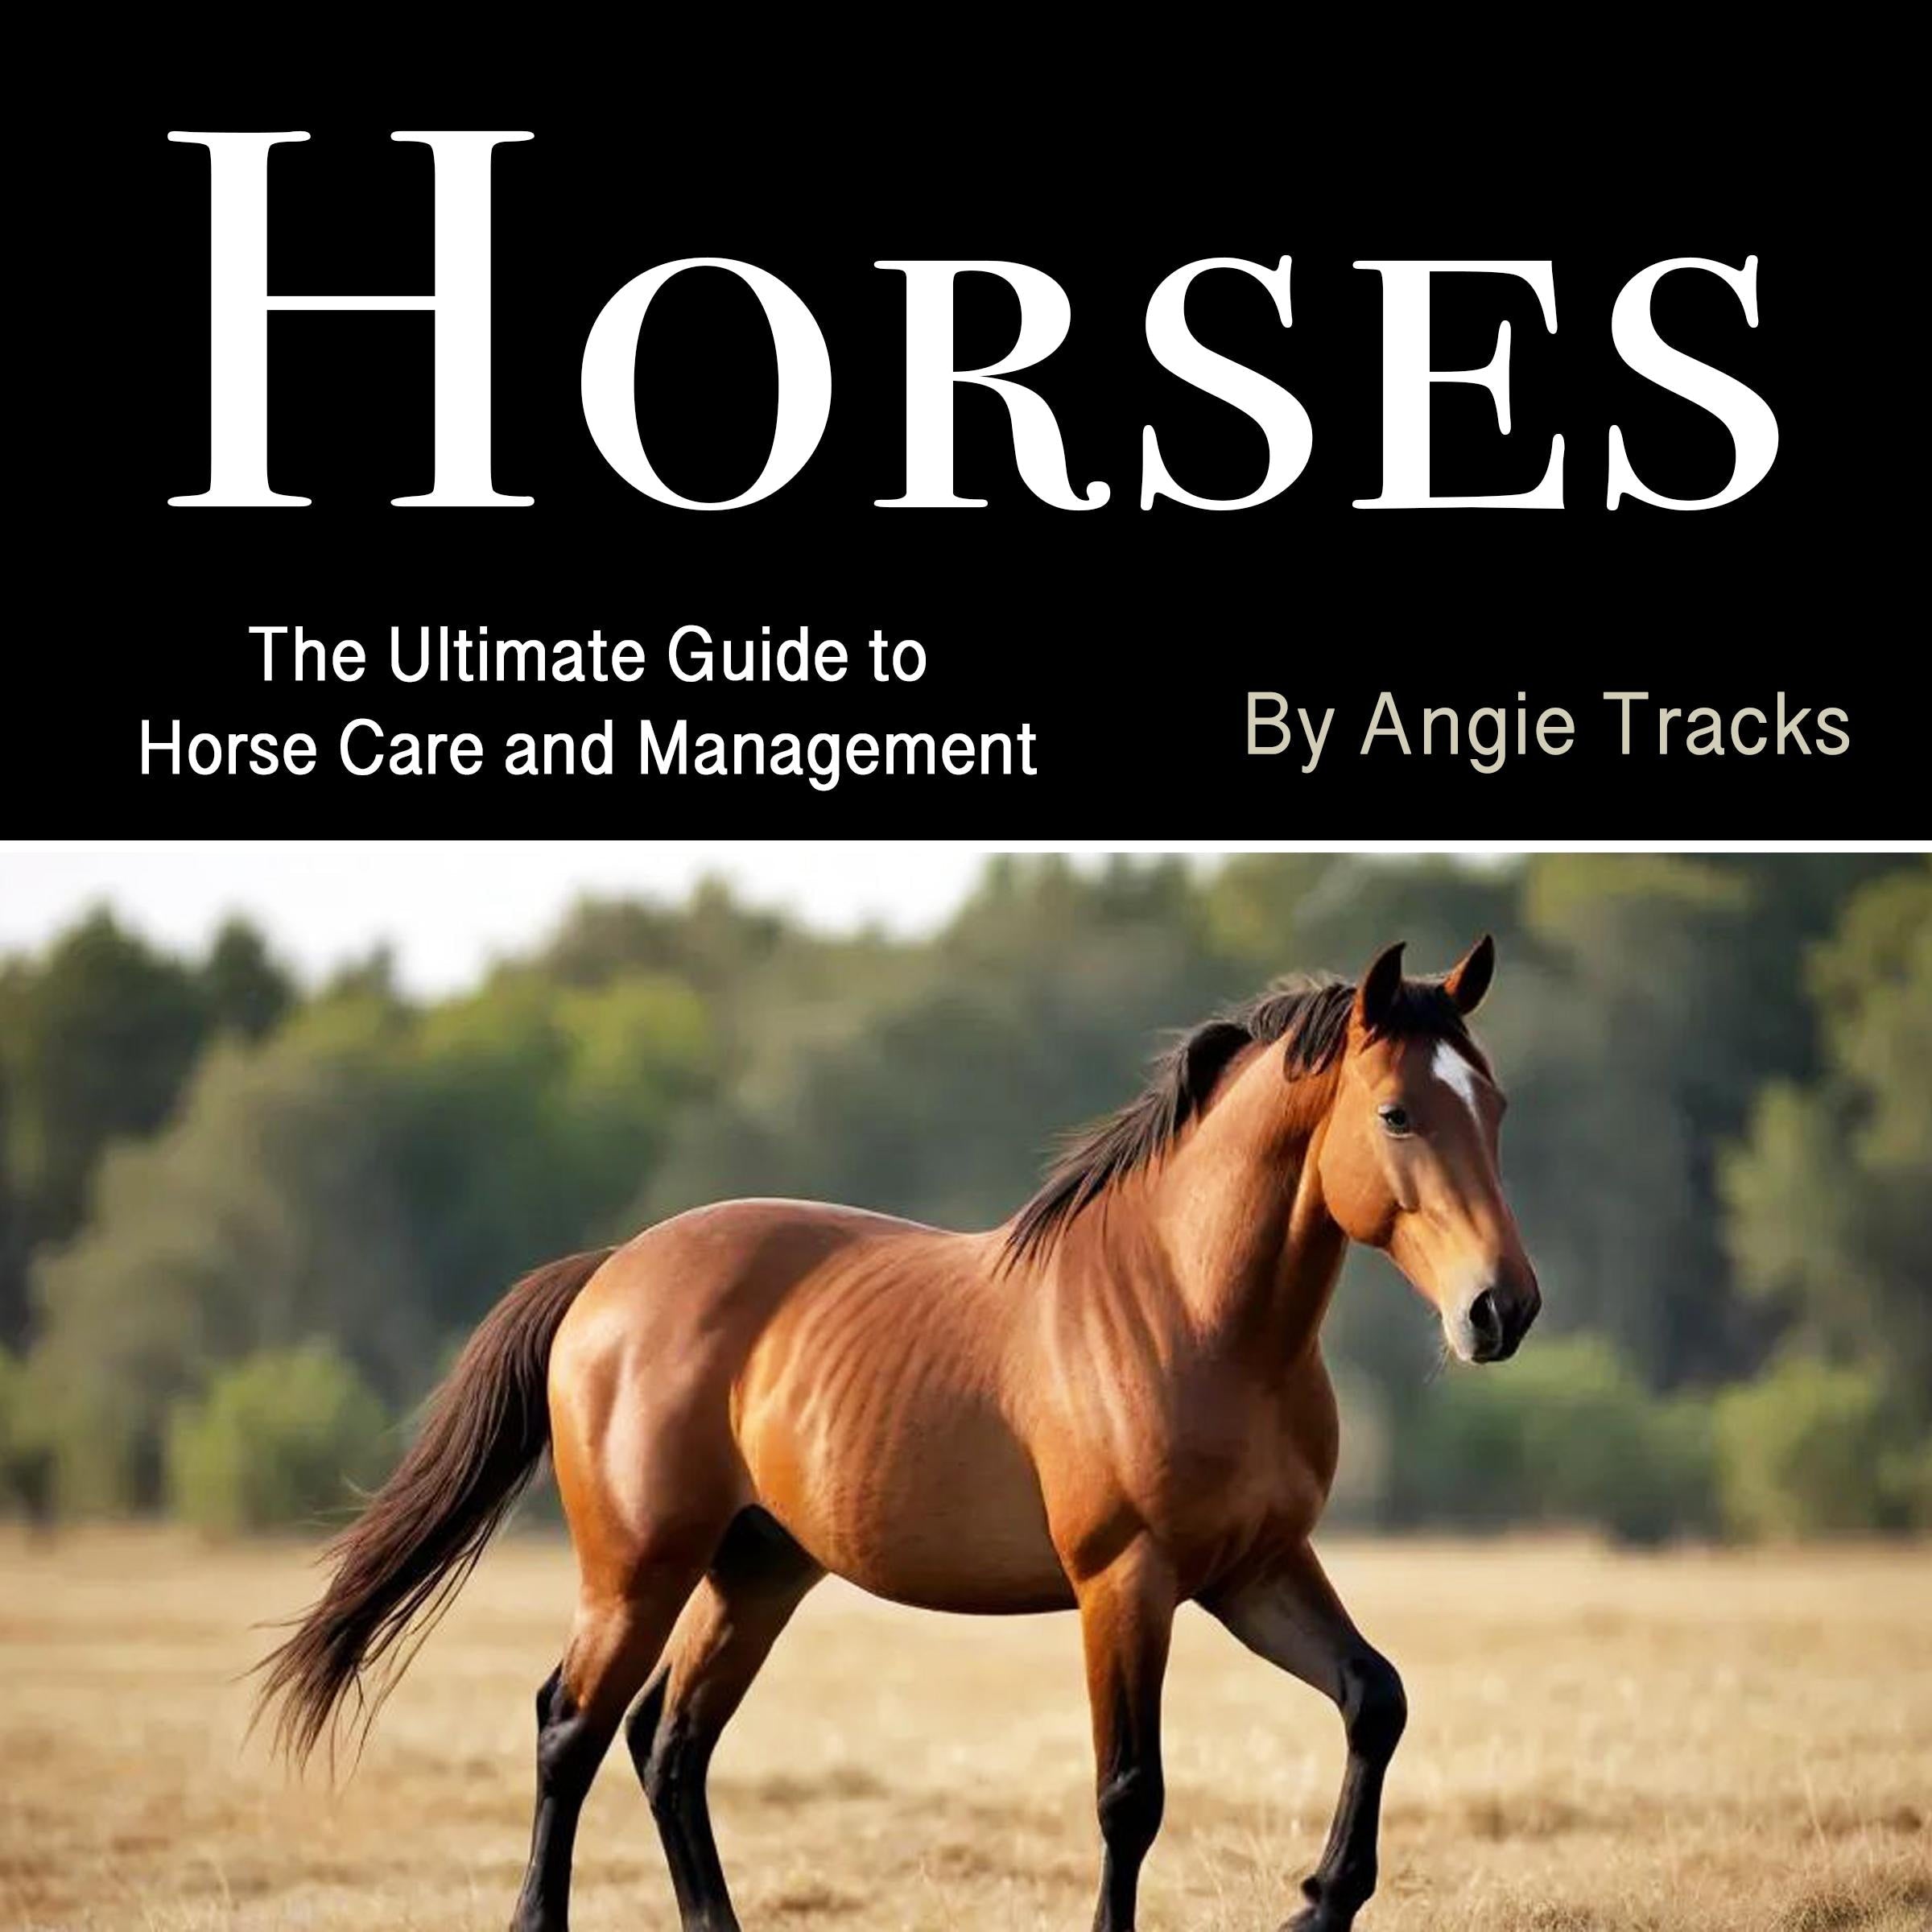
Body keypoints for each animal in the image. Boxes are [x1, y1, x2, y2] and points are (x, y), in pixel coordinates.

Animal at [259, 935, 1540, 1932]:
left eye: (1495, 1107)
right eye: (1396, 1113)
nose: (1502, 1310)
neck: (1189, 1309)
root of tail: (610, 1275)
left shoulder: (1254, 1569)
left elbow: (1376, 1698)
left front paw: (1320, 1898)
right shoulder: (1127, 1583)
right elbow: (1130, 1795)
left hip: (756, 1570)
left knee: (670, 1745)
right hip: (639, 1570)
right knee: (569, 1732)